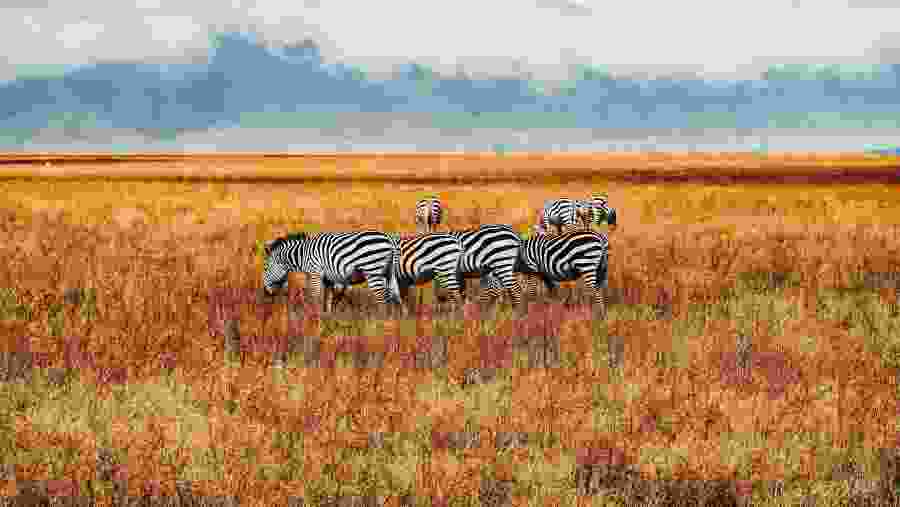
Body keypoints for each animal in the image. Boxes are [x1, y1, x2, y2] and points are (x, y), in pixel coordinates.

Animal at [262, 231, 404, 315]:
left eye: (265, 268)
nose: (265, 293)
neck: (303, 254)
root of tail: (390, 240)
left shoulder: (315, 273)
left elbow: (315, 296)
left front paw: (314, 317)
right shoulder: (328, 278)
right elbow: (328, 298)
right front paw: (327, 317)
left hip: (373, 271)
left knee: (382, 298)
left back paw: (379, 323)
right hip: (389, 273)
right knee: (394, 295)